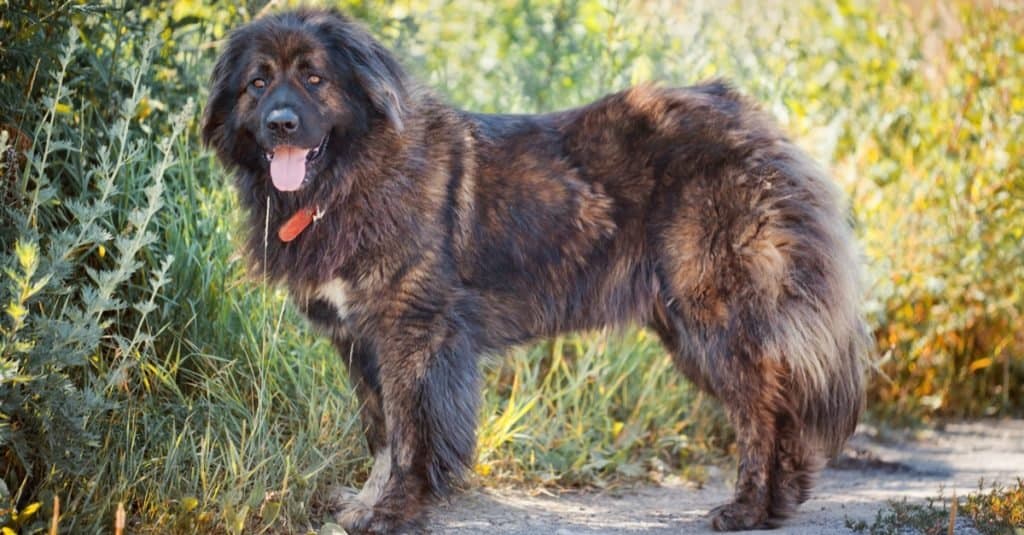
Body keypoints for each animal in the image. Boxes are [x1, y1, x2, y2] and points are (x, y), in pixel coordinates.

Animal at [203, 7, 868, 528]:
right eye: (257, 84)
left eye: (314, 78)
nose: (281, 124)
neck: (348, 177)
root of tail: (753, 122)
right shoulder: (359, 341)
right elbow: (381, 435)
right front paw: (367, 506)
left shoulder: (414, 334)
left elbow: (409, 434)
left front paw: (394, 511)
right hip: (691, 327)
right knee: (781, 409)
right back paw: (779, 504)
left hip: (717, 317)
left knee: (762, 413)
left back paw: (747, 509)